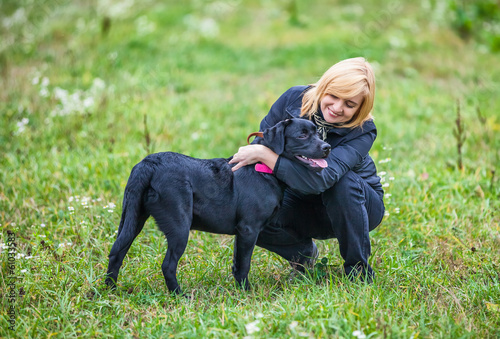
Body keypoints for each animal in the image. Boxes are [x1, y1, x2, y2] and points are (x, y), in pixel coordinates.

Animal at [105, 119, 330, 294]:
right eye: (302, 135)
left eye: (318, 133)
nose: (327, 147)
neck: (262, 167)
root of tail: (149, 164)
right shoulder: (249, 229)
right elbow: (244, 264)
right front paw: (247, 293)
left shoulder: (242, 232)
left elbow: (237, 263)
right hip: (179, 226)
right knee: (168, 265)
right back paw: (179, 295)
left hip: (132, 218)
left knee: (117, 252)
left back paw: (111, 290)